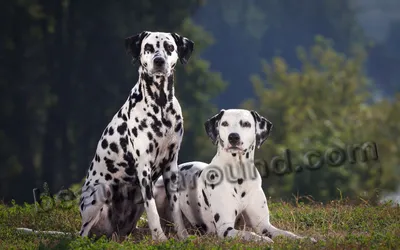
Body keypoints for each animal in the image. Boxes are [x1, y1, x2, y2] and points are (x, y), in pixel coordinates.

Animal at [77, 30, 194, 241]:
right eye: (148, 47)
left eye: (169, 47)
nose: (159, 61)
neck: (160, 105)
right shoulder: (144, 169)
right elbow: (153, 210)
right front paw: (160, 239)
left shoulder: (171, 166)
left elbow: (176, 210)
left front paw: (183, 237)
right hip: (99, 193)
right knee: (82, 233)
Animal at [152, 109, 316, 242]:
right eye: (224, 123)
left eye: (246, 124)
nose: (233, 137)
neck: (239, 174)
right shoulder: (225, 229)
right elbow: (250, 234)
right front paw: (264, 240)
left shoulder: (264, 225)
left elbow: (286, 233)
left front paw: (304, 239)